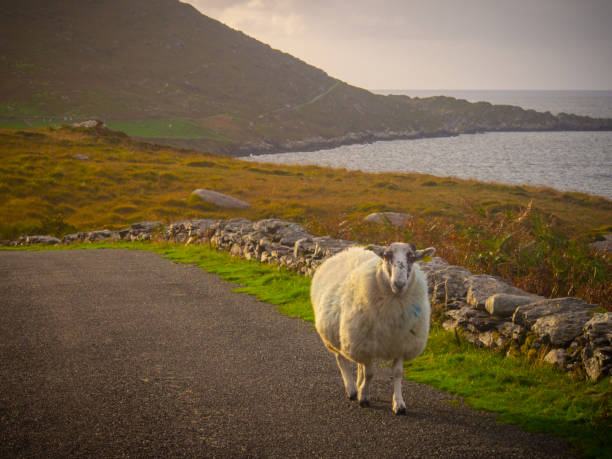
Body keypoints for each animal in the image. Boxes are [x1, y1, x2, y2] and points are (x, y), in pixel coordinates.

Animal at [310, 243, 436, 416]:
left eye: (411, 257)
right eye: (386, 256)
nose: (399, 284)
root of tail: (348, 251)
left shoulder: (401, 344)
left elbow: (397, 373)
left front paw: (399, 404)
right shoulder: (364, 345)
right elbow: (370, 373)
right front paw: (363, 397)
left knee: (358, 364)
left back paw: (358, 384)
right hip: (337, 335)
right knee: (341, 359)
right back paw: (352, 389)